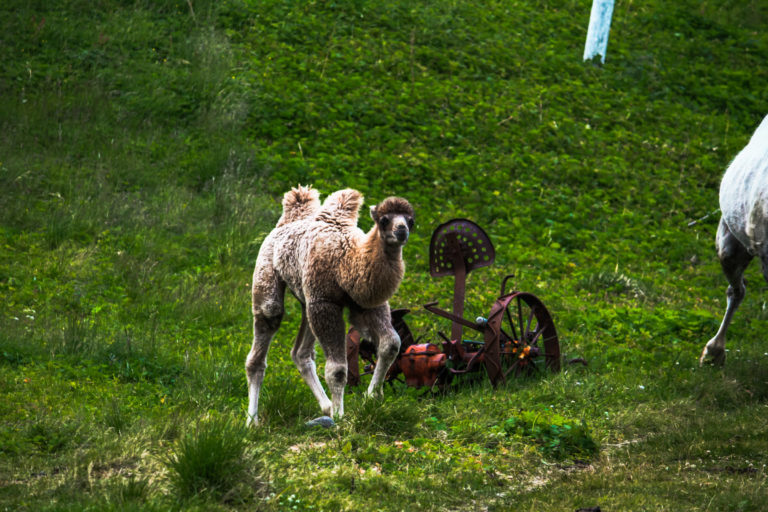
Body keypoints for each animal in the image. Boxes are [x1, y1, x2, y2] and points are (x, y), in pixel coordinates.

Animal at [246, 186, 414, 425]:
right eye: (384, 220)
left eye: (411, 220)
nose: (401, 231)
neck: (347, 262)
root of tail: (285, 221)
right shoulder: (326, 304)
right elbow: (338, 369)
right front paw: (341, 416)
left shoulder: (367, 304)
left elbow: (391, 344)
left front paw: (372, 397)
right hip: (268, 275)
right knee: (265, 330)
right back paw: (252, 421)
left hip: (306, 300)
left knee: (300, 353)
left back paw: (325, 407)